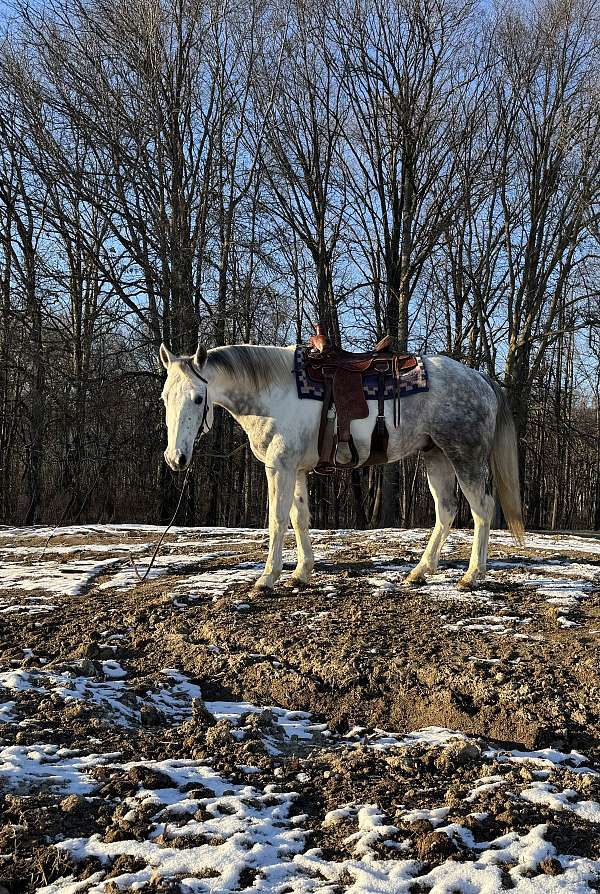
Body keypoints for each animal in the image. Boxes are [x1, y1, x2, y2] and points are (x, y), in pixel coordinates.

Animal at [158, 346, 520, 592]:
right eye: (164, 397)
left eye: (197, 398)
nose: (176, 458)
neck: (272, 394)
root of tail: (480, 378)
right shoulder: (296, 470)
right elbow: (299, 518)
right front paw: (300, 573)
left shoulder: (280, 468)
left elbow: (277, 521)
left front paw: (267, 578)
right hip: (436, 457)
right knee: (446, 510)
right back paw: (420, 571)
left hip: (465, 456)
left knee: (482, 509)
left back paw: (472, 575)